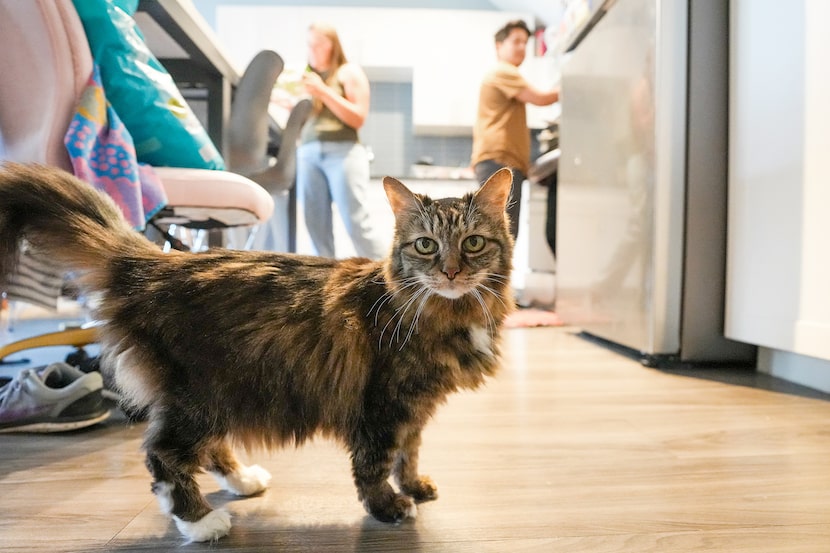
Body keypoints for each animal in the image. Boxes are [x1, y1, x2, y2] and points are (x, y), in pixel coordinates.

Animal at [0, 162, 512, 540]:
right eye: (425, 245)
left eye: (472, 243)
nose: (450, 272)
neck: (452, 311)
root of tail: (152, 262)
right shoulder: (383, 405)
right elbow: (375, 463)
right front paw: (388, 506)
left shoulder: (417, 407)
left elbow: (411, 452)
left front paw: (416, 486)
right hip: (202, 396)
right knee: (162, 455)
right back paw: (201, 522)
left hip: (222, 396)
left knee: (207, 450)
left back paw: (243, 480)